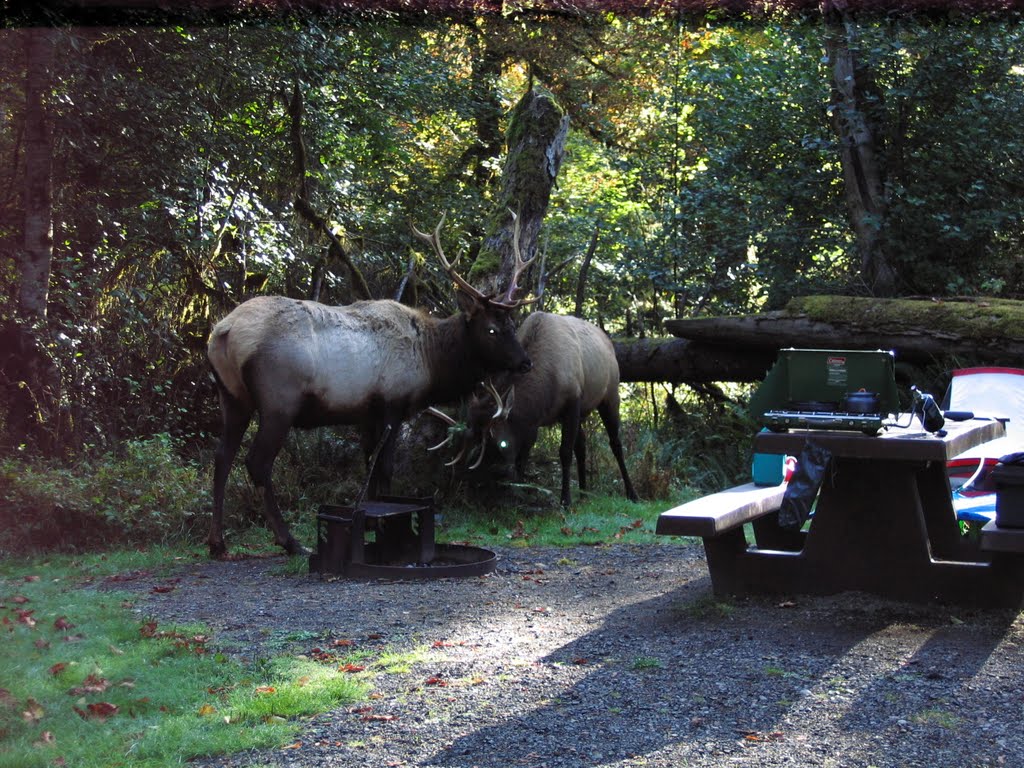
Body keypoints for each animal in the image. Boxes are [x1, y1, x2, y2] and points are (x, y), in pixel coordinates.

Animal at [203, 217, 532, 561]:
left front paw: (372, 521)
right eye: (492, 330)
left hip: (232, 397)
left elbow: (368, 466)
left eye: (511, 324)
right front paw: (385, 526)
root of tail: (224, 331)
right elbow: (384, 467)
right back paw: (289, 541)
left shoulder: (366, 413)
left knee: (222, 456)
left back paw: (217, 542)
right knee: (257, 463)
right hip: (278, 401)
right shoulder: (393, 404)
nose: (525, 362)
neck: (431, 362)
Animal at [450, 309, 634, 507]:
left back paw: (631, 493)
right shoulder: (533, 421)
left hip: (610, 396)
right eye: (468, 439)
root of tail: (607, 340)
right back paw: (583, 493)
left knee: (615, 443)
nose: (478, 479)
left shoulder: (573, 401)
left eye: (500, 443)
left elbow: (565, 452)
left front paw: (565, 499)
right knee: (582, 445)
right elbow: (523, 456)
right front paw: (519, 492)